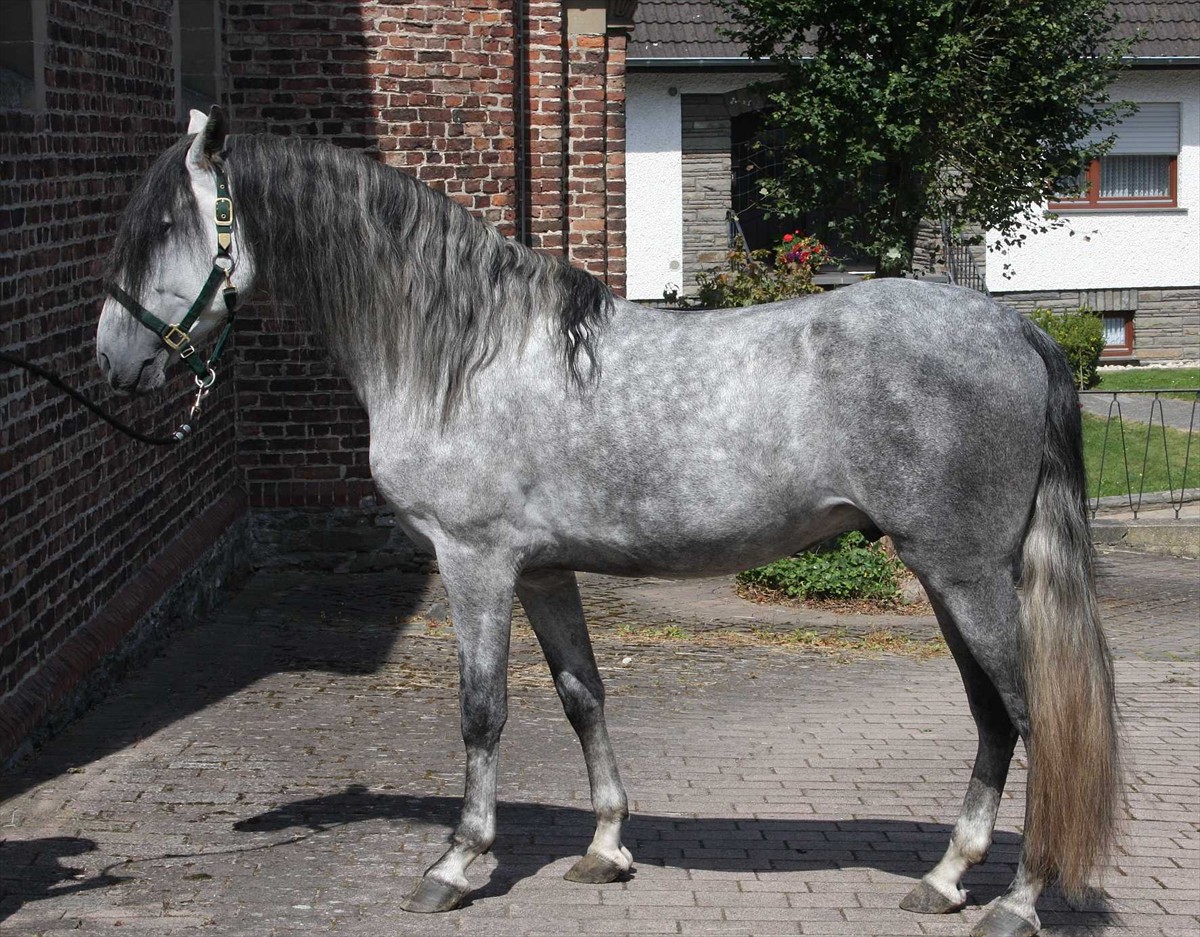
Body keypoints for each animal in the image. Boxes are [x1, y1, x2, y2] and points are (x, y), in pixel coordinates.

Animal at [95, 107, 1120, 937]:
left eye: (165, 225)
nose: (112, 360)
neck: (462, 351)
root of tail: (1018, 329)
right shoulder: (545, 570)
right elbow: (582, 695)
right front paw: (606, 847)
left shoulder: (474, 562)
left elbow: (482, 710)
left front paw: (456, 862)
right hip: (950, 573)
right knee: (992, 718)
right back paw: (946, 879)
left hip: (965, 573)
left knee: (1030, 715)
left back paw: (1016, 900)